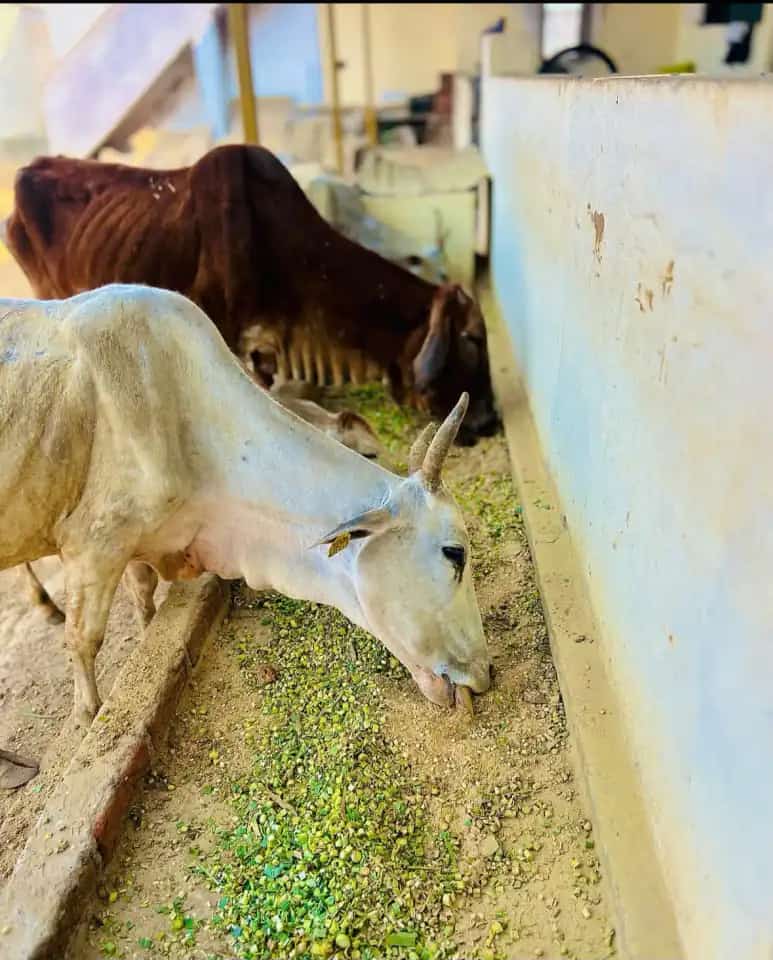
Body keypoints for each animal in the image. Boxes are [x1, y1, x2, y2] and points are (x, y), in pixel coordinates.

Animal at [0, 284, 491, 729]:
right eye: (455, 553)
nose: (486, 673)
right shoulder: (94, 546)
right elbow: (84, 639)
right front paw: (88, 717)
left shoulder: (134, 544)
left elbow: (142, 597)